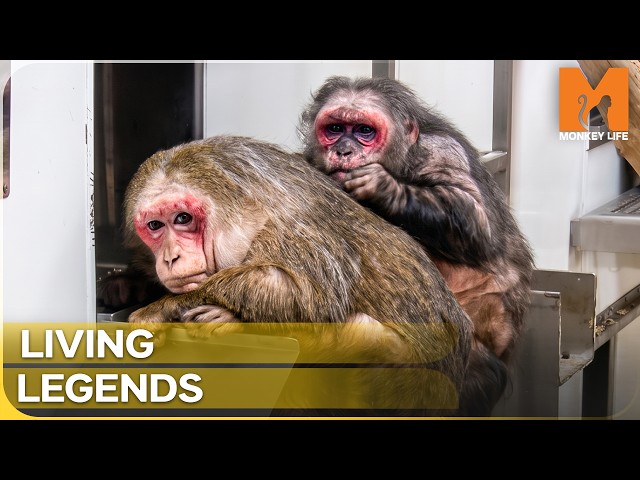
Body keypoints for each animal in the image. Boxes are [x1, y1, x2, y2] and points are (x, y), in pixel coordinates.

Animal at [120, 134, 479, 416]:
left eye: (182, 218)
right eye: (156, 225)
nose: (171, 257)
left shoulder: (287, 232)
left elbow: (311, 298)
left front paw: (167, 307)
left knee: (364, 334)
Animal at [298, 75, 536, 415]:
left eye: (364, 131)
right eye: (335, 128)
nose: (344, 149)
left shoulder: (444, 154)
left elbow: (471, 213)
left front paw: (386, 188)